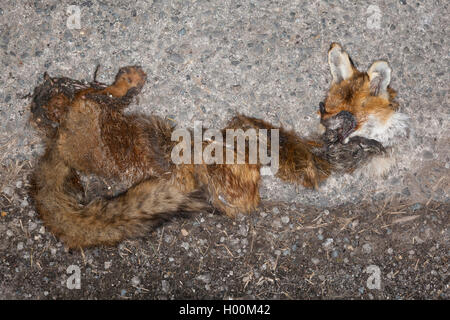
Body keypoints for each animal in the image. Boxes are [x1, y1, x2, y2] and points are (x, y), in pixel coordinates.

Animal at [28, 43, 408, 248]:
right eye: (322, 107)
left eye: (341, 112)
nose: (327, 128)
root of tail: (55, 149)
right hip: (103, 117)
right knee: (79, 96)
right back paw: (125, 81)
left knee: (65, 103)